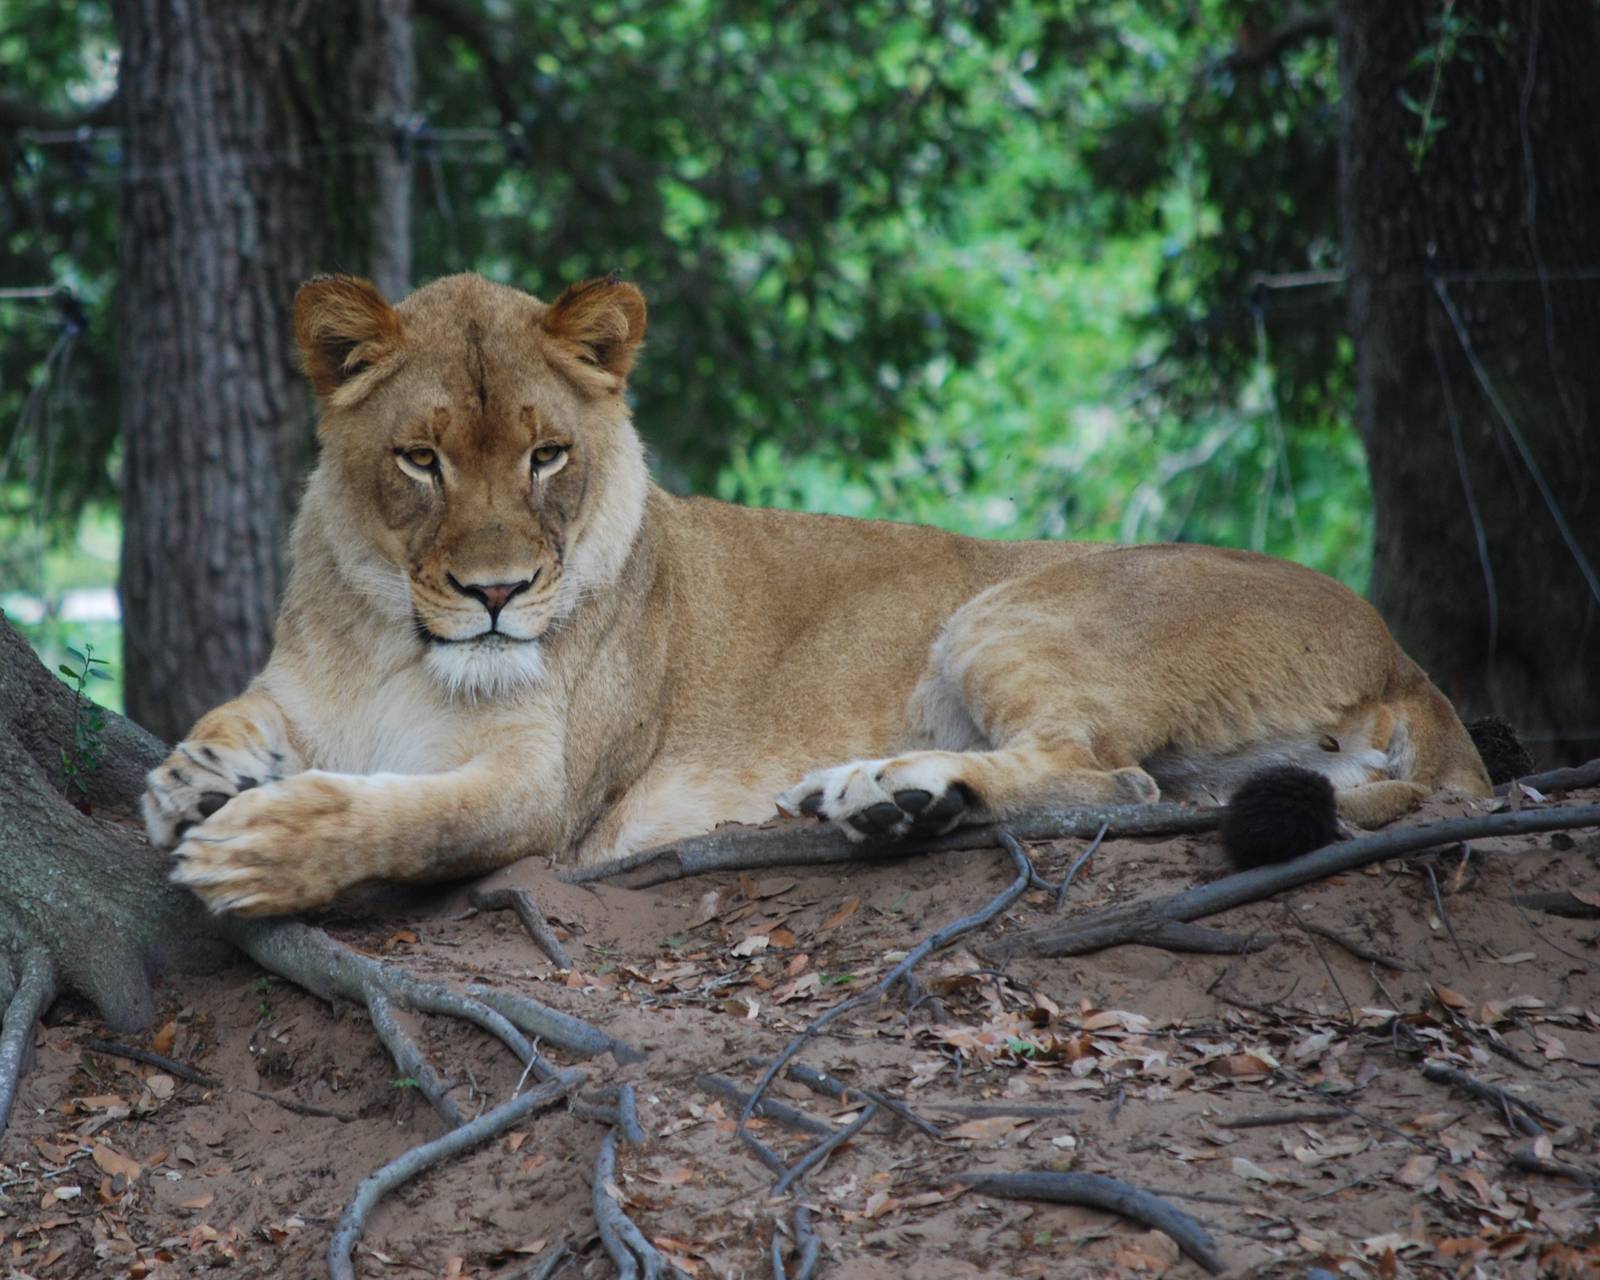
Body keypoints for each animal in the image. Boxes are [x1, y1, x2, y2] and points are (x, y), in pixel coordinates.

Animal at [143, 272, 1491, 915]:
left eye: (546, 456)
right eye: (420, 458)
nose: (494, 592)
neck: (393, 633)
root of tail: (1405, 658)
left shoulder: (543, 791)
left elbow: (409, 814)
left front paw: (255, 849)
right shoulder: (295, 684)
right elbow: (231, 714)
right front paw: (192, 780)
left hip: (1007, 607)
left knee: (1109, 778)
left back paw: (883, 787)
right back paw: (891, 801)